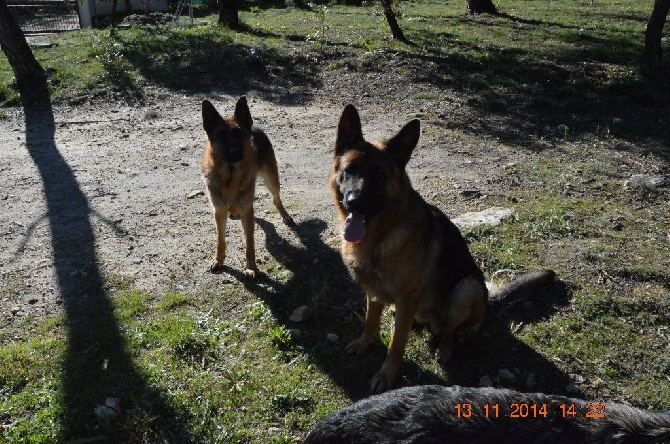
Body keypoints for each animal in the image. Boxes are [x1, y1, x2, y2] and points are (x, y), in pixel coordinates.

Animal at [201, 96, 292, 278]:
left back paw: (285, 215)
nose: (235, 153)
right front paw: (218, 260)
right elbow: (220, 239)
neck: (230, 178)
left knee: (276, 199)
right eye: (221, 136)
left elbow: (250, 243)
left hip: (272, 180)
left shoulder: (246, 211)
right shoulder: (219, 212)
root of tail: (254, 126)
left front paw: (251, 267)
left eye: (239, 133)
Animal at [330, 106, 556, 394]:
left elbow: (395, 344)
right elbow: (371, 321)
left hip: (466, 288)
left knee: (451, 331)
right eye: (349, 170)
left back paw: (445, 349)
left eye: (379, 177)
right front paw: (364, 343)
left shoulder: (406, 299)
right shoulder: (374, 292)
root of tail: (487, 303)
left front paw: (387, 374)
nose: (354, 202)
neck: (379, 237)